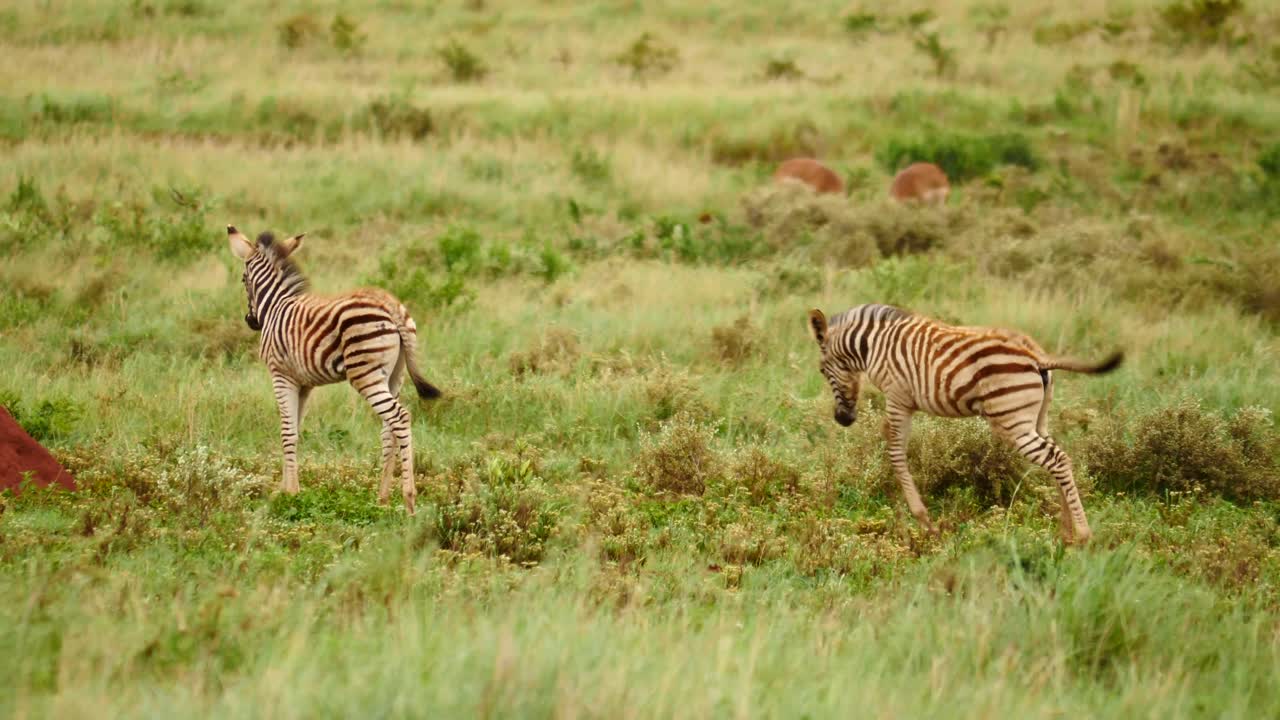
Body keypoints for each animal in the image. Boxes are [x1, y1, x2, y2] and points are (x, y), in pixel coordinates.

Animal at [227, 225, 441, 514]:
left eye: (243, 279)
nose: (251, 321)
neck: (275, 306)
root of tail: (392, 307)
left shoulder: (280, 375)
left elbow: (285, 431)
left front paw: (290, 493)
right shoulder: (303, 383)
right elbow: (294, 431)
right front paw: (286, 489)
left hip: (365, 374)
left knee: (400, 418)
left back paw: (408, 499)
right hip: (394, 375)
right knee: (389, 429)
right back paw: (382, 498)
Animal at [807, 303, 1122, 543]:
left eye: (822, 370)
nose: (843, 419)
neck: (872, 344)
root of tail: (1037, 356)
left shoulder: (898, 398)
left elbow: (895, 453)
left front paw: (924, 522)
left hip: (1013, 422)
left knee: (1056, 459)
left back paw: (1082, 534)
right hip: (1037, 419)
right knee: (1058, 459)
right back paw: (1066, 533)